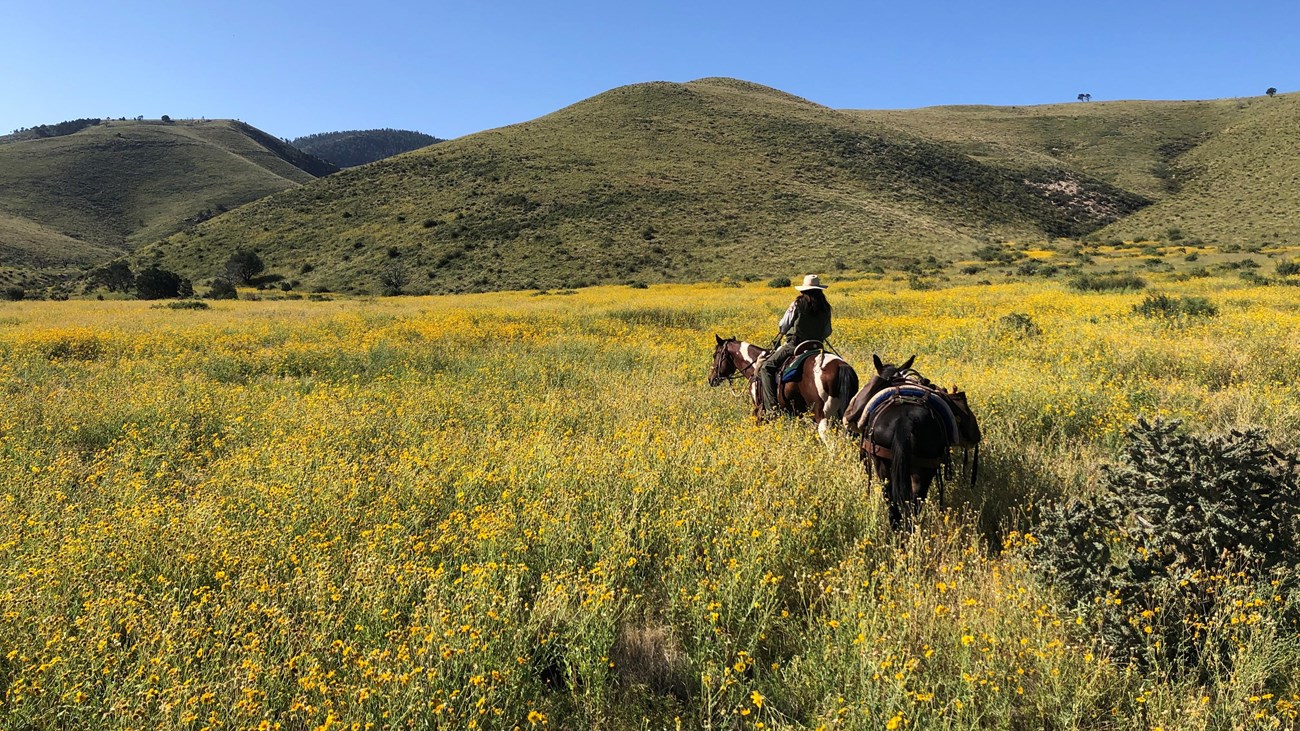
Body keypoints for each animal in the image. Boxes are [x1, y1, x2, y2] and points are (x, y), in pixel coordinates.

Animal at [707, 332, 857, 442]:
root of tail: (840, 366)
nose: (711, 379)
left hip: (823, 415)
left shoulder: (759, 409)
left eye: (715, 355)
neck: (755, 366)